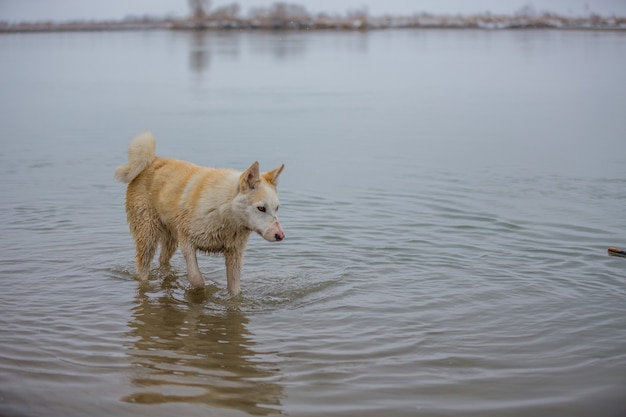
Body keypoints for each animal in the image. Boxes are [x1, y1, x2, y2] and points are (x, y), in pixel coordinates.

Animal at [114, 132, 286, 294]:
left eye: (277, 208)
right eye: (261, 208)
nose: (280, 236)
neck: (224, 211)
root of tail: (152, 160)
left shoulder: (234, 254)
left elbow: (235, 290)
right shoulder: (187, 241)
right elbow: (197, 279)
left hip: (170, 237)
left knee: (163, 259)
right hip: (148, 235)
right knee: (142, 268)